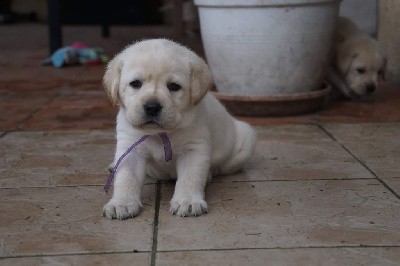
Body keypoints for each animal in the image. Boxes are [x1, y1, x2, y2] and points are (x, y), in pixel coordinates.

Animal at [102, 38, 256, 219]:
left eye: (174, 86)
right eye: (135, 83)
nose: (152, 107)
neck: (160, 133)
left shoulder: (194, 149)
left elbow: (190, 177)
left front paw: (187, 201)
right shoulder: (130, 148)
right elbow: (126, 177)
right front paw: (121, 203)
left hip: (246, 139)